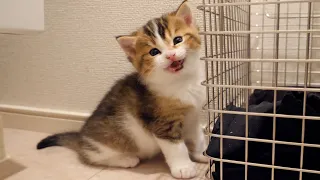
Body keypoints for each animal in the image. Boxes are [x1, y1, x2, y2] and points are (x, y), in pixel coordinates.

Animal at [37, 0, 206, 179]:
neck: (183, 82)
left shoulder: (193, 115)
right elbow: (176, 147)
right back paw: (126, 159)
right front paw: (184, 168)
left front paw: (203, 154)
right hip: (105, 144)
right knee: (90, 155)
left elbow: (198, 136)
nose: (171, 55)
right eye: (154, 52)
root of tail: (81, 137)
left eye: (178, 39)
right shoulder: (161, 121)